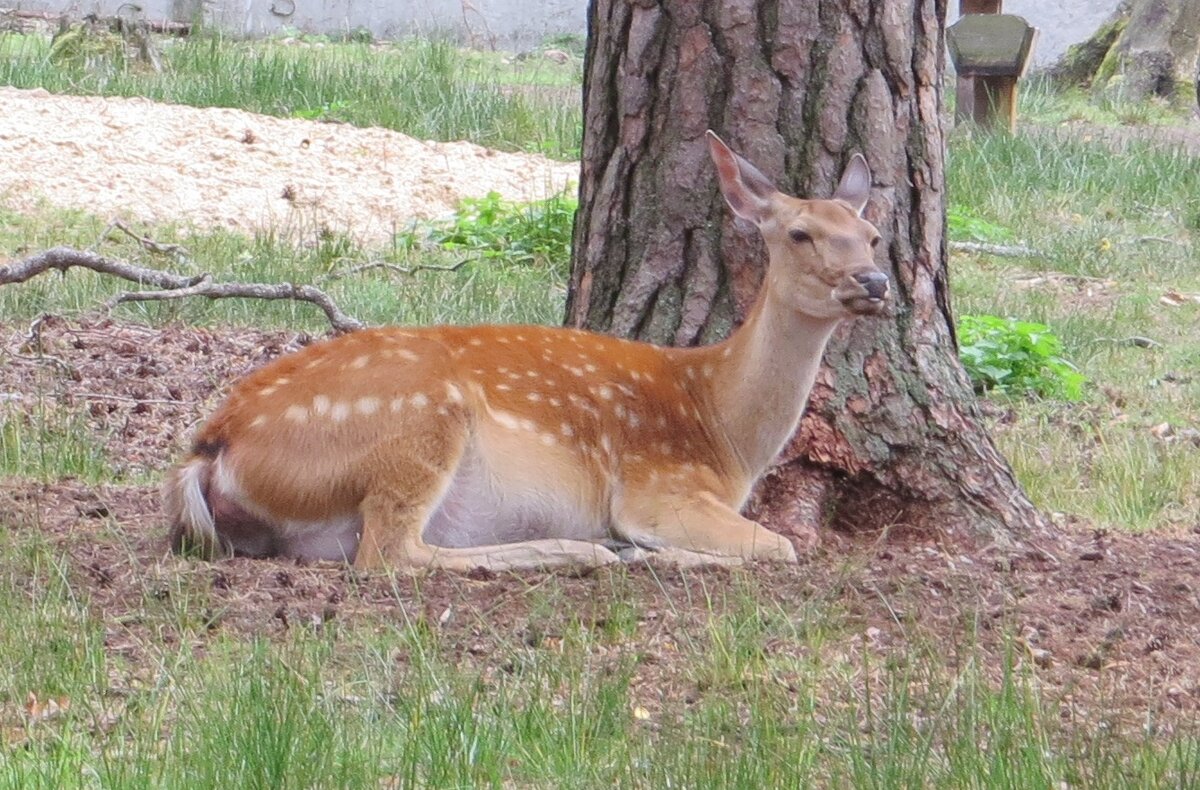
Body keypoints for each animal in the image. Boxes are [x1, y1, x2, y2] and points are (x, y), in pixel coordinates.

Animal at [164, 132, 888, 569]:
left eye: (873, 235)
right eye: (799, 233)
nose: (874, 282)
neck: (721, 427)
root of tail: (213, 447)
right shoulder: (658, 486)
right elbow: (780, 545)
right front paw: (647, 551)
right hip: (415, 423)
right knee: (392, 553)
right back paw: (585, 551)